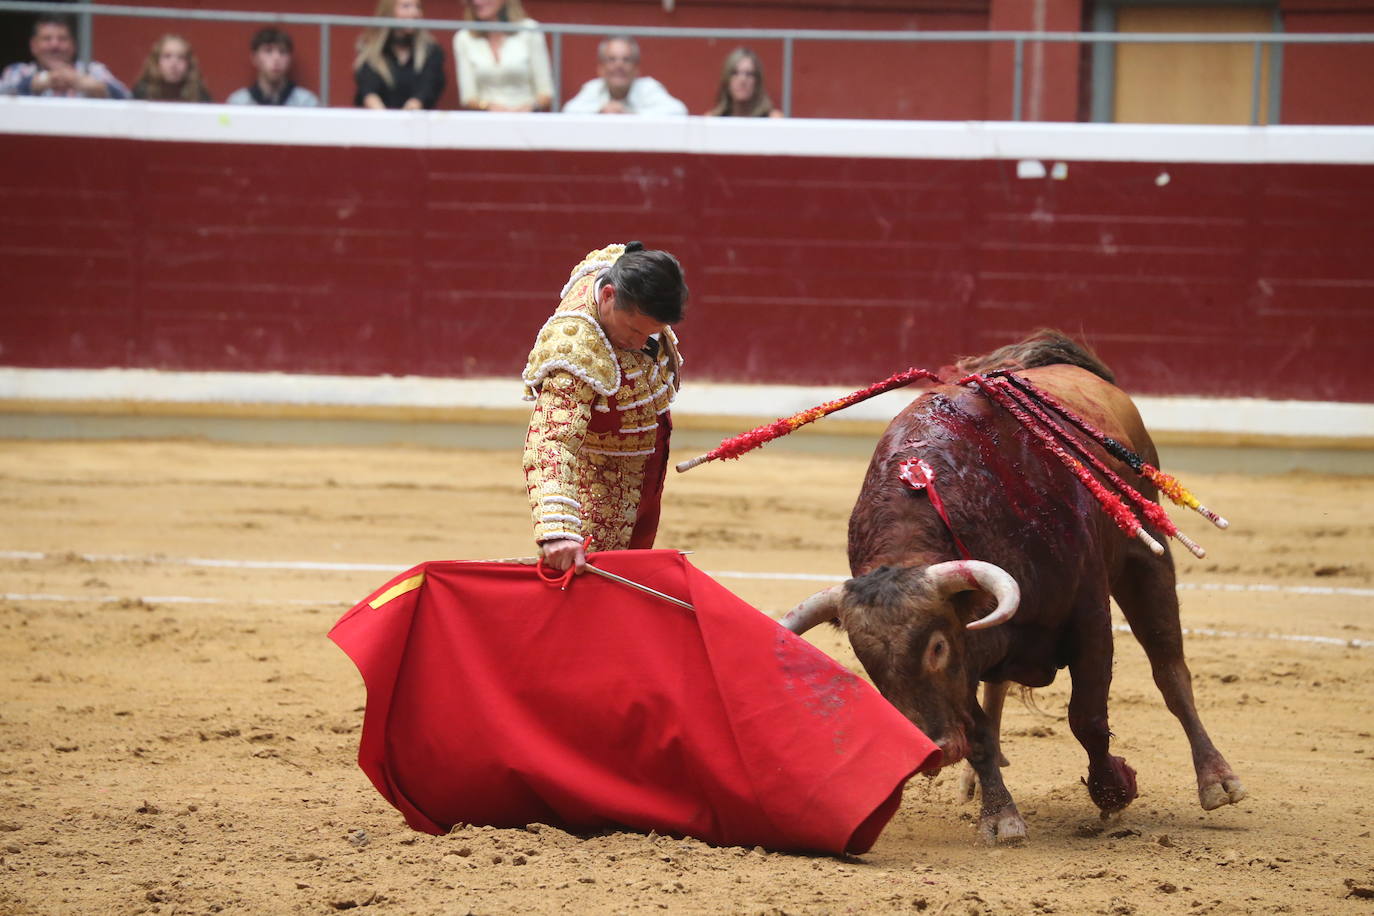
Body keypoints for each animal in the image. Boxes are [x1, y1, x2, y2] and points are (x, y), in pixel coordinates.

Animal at [785, 335, 1247, 845]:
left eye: (937, 647)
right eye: (864, 659)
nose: (932, 750)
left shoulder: (1088, 615)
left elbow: (1087, 715)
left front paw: (1115, 790)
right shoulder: (972, 648)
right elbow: (981, 732)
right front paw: (1000, 815)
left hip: (1146, 559)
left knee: (1170, 672)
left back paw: (1218, 781)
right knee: (997, 693)